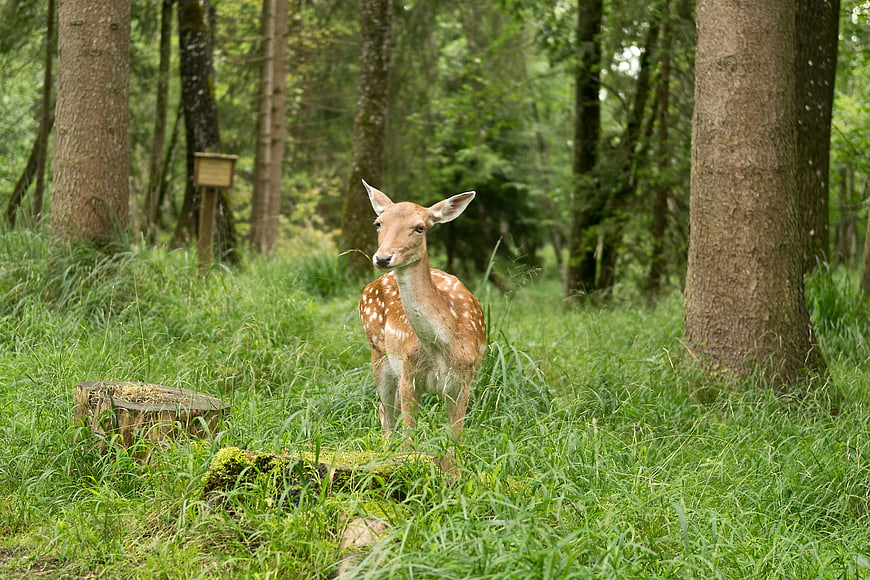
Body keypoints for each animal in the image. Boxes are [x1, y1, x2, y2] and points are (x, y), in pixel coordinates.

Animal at [358, 180, 487, 467]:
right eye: (378, 223)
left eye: (420, 227)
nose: (383, 258)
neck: (442, 348)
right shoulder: (409, 375)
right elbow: (409, 438)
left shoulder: (464, 382)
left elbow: (455, 447)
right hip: (378, 351)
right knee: (385, 413)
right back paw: (385, 453)